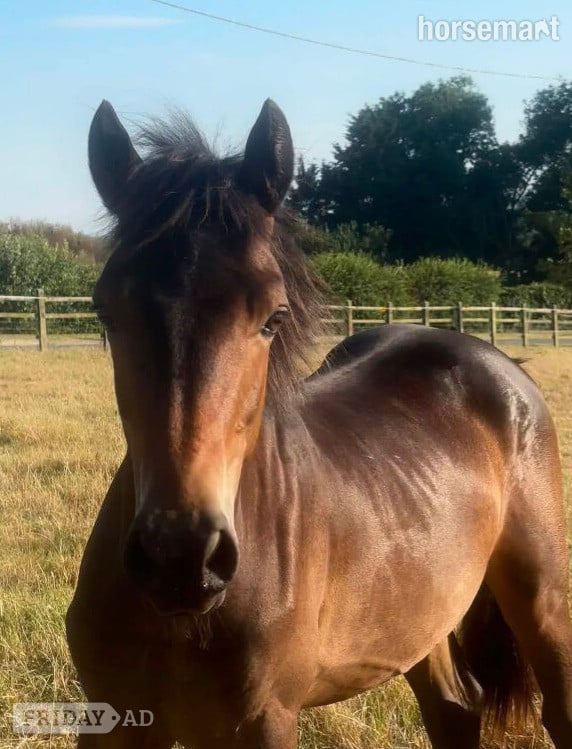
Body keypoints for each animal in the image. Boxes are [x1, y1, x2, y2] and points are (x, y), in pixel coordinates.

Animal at [67, 98, 572, 749]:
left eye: (274, 317)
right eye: (106, 311)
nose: (181, 557)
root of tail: (500, 364)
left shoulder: (265, 721)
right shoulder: (114, 718)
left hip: (544, 598)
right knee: (456, 704)